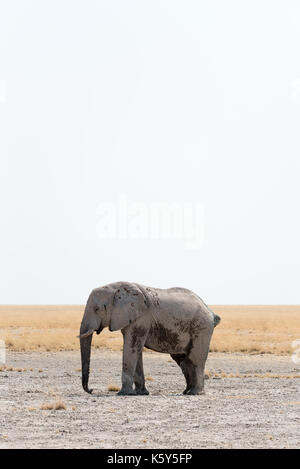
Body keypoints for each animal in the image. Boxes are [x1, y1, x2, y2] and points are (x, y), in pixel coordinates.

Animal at [78, 282, 221, 394]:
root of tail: (211, 312)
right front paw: (141, 393)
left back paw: (195, 393)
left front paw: (124, 393)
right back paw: (186, 391)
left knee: (195, 359)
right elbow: (136, 349)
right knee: (182, 360)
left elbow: (131, 347)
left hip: (201, 328)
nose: (91, 390)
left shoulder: (141, 318)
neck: (117, 289)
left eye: (97, 309)